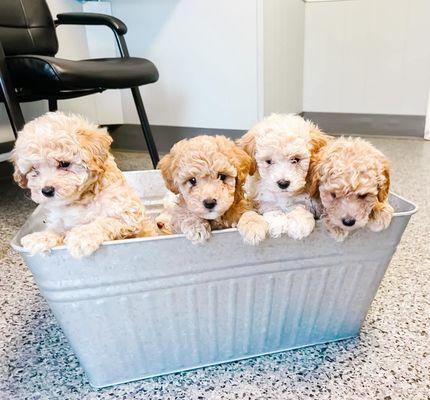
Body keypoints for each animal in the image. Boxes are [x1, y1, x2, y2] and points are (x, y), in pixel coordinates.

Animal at [11, 111, 156, 260]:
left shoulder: (128, 215)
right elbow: (56, 229)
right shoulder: (63, 221)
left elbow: (104, 222)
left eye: (64, 163)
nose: (46, 191)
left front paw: (82, 236)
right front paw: (40, 237)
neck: (82, 198)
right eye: (34, 169)